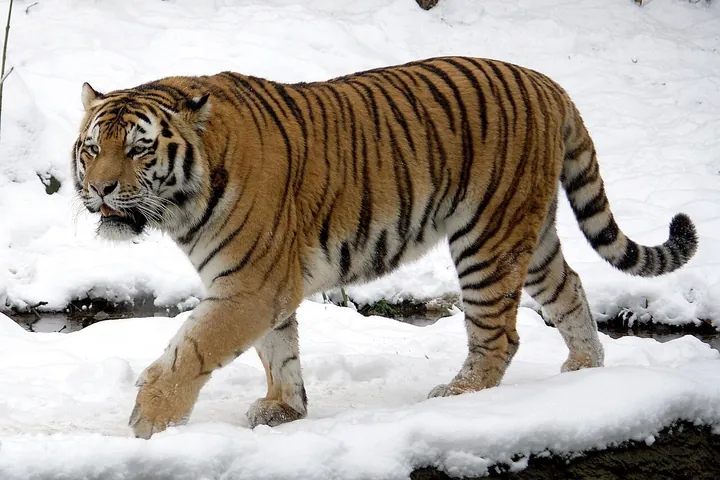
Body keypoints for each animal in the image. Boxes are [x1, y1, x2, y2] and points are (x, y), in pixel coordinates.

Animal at [72, 56, 698, 439]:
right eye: (92, 148)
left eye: (138, 149)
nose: (99, 188)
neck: (183, 201)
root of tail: (549, 83)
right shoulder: (262, 285)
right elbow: (279, 351)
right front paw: (285, 408)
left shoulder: (249, 285)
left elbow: (192, 350)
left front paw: (149, 422)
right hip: (531, 232)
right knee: (568, 287)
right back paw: (583, 371)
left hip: (487, 238)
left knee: (500, 333)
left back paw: (459, 395)